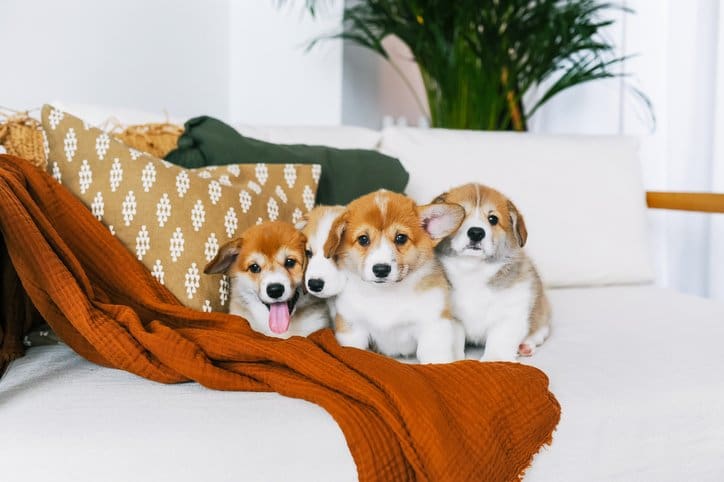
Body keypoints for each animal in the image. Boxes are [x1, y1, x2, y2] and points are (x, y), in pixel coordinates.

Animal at [326, 190, 464, 364]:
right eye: (363, 239)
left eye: (401, 238)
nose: (381, 269)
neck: (387, 294)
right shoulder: (352, 327)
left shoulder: (433, 325)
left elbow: (434, 358)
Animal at [432, 185, 552, 362]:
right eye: (461, 217)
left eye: (493, 219)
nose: (476, 232)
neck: (472, 270)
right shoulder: (452, 318)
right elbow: (454, 340)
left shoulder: (510, 313)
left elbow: (499, 341)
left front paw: (493, 360)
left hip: (541, 310)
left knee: (541, 331)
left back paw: (525, 346)